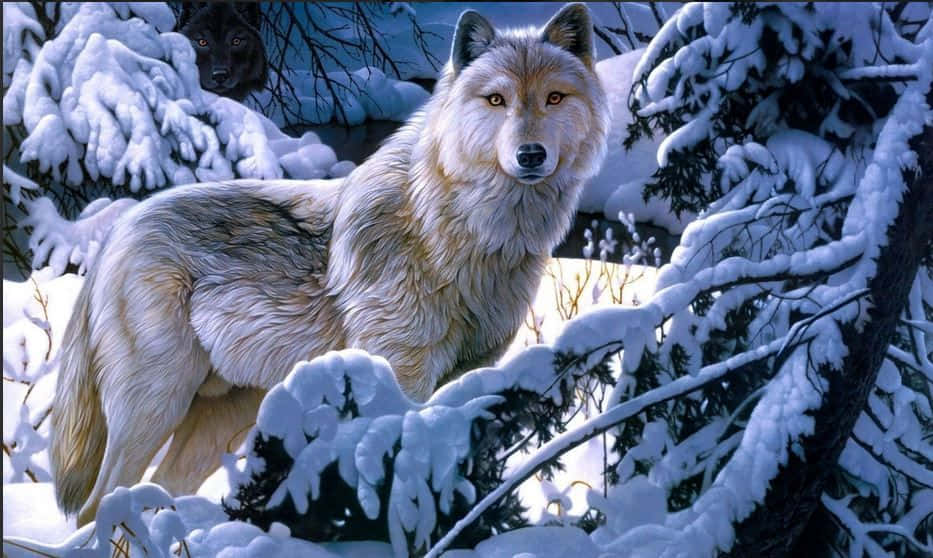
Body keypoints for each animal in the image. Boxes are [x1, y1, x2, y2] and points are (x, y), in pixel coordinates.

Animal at [51, 3, 609, 526]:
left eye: (554, 98)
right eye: (496, 100)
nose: (531, 155)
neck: (461, 233)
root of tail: (118, 231)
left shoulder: (470, 375)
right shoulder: (401, 375)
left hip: (222, 419)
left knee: (158, 493)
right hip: (156, 407)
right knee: (96, 506)